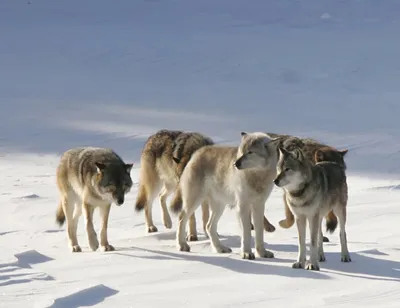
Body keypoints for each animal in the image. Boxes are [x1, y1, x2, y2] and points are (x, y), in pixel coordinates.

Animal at [170, 132, 280, 260]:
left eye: (250, 152)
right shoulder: (243, 206)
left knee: (208, 226)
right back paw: (182, 245)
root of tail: (197, 152)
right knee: (181, 218)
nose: (236, 164)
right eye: (241, 152)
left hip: (219, 206)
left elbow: (259, 232)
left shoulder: (259, 205)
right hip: (194, 202)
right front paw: (246, 253)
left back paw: (220, 248)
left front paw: (262, 253)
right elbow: (246, 232)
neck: (257, 177)